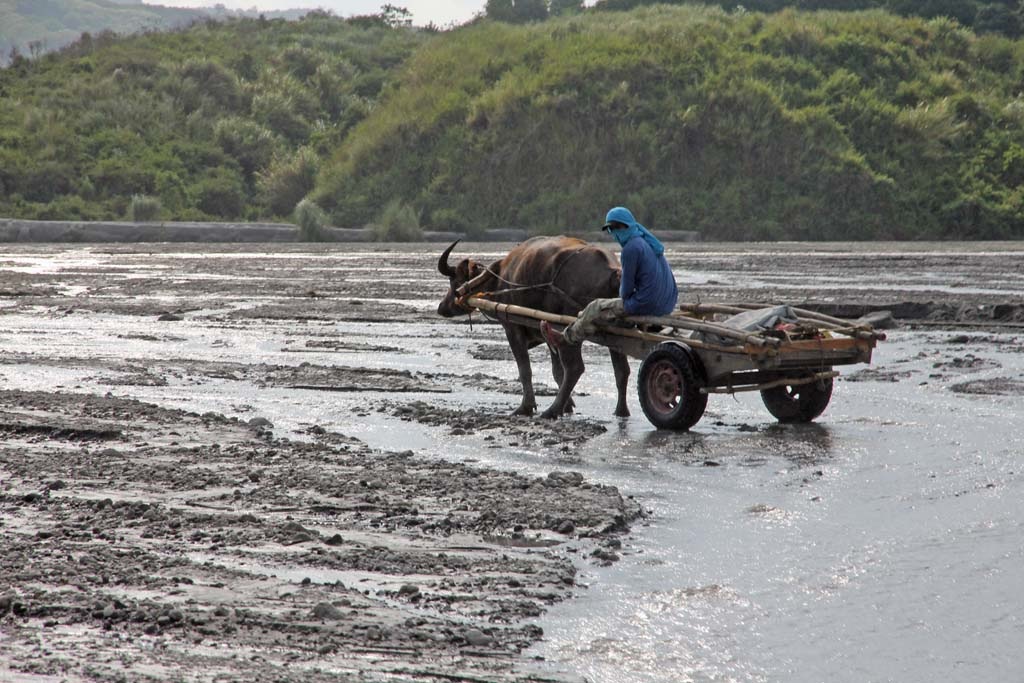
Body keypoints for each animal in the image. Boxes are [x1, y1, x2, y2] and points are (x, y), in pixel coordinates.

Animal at [434, 235, 626, 419]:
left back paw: (552, 410)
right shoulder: (547, 334)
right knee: (621, 371)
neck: (498, 280)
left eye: (453, 281)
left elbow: (525, 369)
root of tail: (612, 271)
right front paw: (568, 405)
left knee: (574, 368)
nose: (442, 308)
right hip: (613, 334)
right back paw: (621, 410)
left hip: (568, 330)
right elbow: (557, 372)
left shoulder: (513, 329)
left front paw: (526, 407)